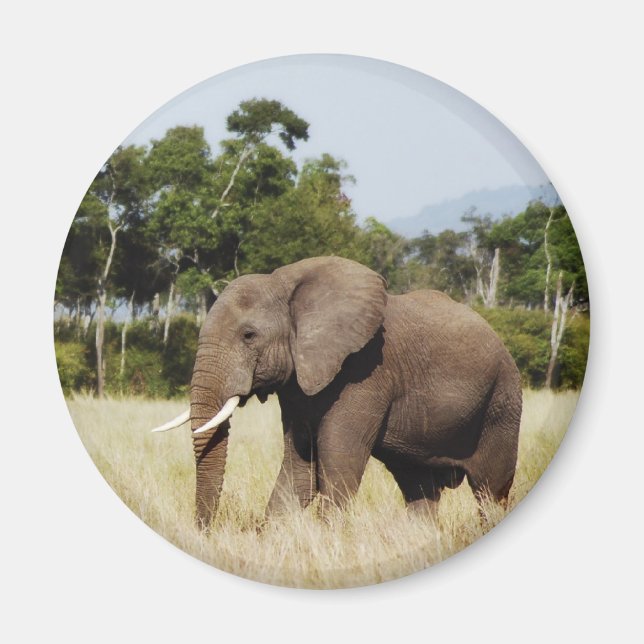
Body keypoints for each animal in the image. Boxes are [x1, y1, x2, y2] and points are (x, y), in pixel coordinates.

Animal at [152, 256, 522, 529]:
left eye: (249, 335)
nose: (204, 531)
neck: (286, 286)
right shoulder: (298, 384)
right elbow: (301, 467)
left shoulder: (365, 372)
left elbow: (338, 464)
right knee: (419, 488)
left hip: (502, 401)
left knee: (491, 490)